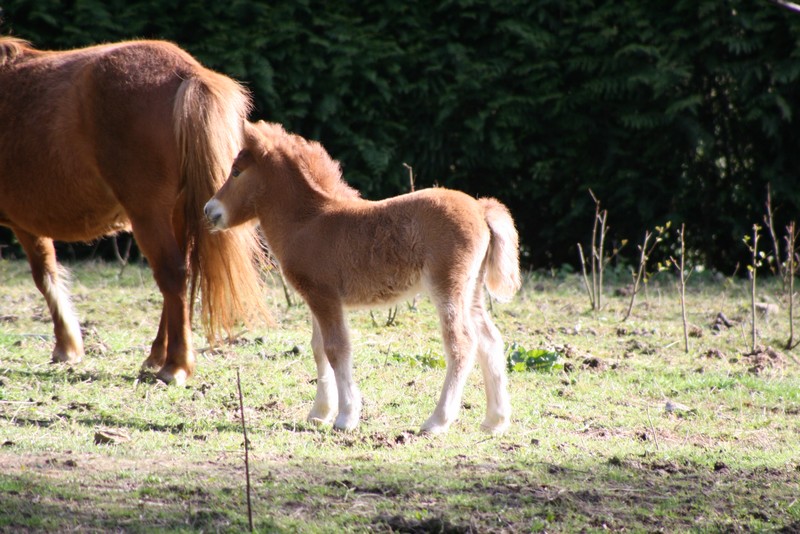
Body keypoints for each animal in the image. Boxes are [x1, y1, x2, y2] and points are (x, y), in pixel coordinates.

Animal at [0, 37, 268, 386]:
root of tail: (187, 72)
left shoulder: (25, 225)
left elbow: (44, 277)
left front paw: (67, 347)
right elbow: (47, 273)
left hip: (148, 214)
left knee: (172, 274)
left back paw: (175, 365)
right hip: (176, 214)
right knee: (180, 276)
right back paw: (158, 356)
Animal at [203, 123, 520, 438]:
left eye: (236, 172)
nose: (209, 210)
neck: (309, 221)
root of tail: (480, 209)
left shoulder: (325, 297)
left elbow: (336, 349)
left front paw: (345, 417)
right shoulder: (314, 298)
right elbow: (318, 349)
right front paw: (319, 413)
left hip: (448, 287)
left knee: (461, 343)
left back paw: (437, 421)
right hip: (472, 290)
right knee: (490, 340)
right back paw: (495, 421)